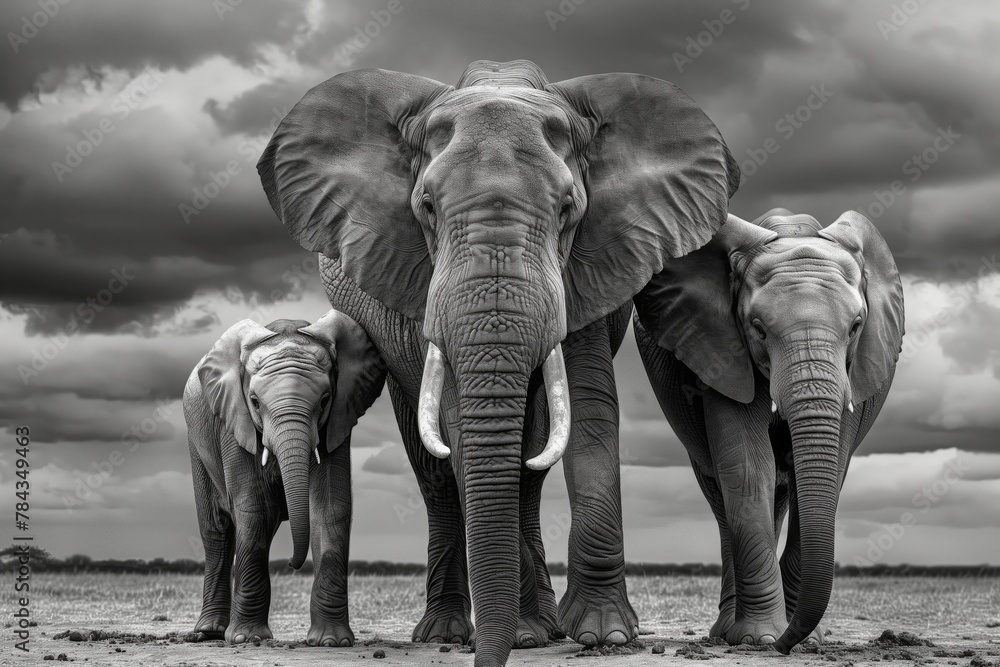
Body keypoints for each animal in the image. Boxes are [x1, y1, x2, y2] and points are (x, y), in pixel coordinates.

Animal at [184, 311, 385, 645]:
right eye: (254, 401)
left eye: (324, 400)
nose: (292, 564)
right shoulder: (233, 422)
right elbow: (253, 507)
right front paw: (245, 639)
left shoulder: (338, 421)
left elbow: (329, 507)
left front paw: (331, 641)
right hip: (196, 444)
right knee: (217, 529)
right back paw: (209, 632)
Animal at [257, 59, 740, 666]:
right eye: (426, 208)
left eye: (567, 210)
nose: (492, 655)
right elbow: (462, 432)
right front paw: (527, 636)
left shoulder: (585, 269)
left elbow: (588, 412)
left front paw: (603, 635)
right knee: (435, 471)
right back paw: (452, 631)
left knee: (529, 462)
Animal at [633, 209, 904, 652]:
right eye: (758, 328)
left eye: (855, 327)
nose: (785, 645)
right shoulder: (721, 353)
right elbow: (747, 468)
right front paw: (760, 639)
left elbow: (828, 473)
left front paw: (807, 641)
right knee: (723, 497)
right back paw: (727, 633)